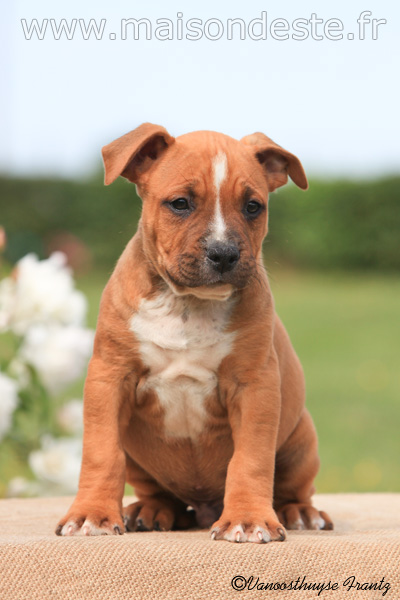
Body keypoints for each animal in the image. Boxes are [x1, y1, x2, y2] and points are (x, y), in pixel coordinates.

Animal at [56, 123, 333, 542]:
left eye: (253, 207)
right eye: (180, 203)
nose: (224, 253)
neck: (187, 304)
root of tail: (201, 508)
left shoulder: (255, 387)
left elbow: (251, 460)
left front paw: (248, 518)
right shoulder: (109, 377)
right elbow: (101, 453)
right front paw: (92, 514)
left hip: (301, 437)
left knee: (293, 487)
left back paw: (299, 512)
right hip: (140, 459)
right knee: (156, 491)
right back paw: (149, 510)